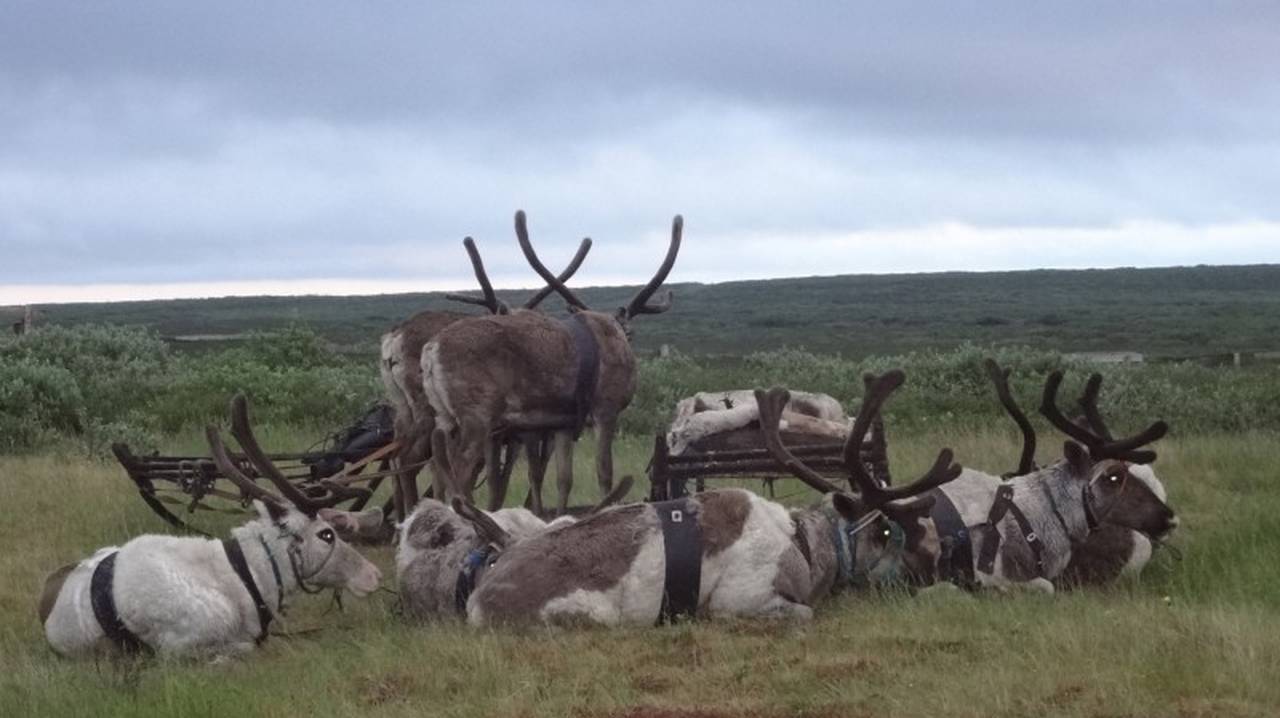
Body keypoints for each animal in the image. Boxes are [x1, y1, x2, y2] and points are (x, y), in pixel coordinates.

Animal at [380, 234, 591, 520]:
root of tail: (393, 341)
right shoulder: (520, 433)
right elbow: (511, 476)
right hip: (429, 410)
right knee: (410, 460)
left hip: (403, 407)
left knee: (397, 456)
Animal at [422, 210, 682, 514]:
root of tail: (431, 350)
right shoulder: (606, 410)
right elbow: (605, 473)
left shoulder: (563, 424)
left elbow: (563, 478)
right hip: (477, 416)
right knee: (460, 470)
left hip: (444, 416)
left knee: (438, 466)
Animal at [456, 371, 962, 627]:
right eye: (909, 540)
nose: (943, 578)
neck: (805, 545)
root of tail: (479, 598)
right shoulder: (743, 603)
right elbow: (803, 615)